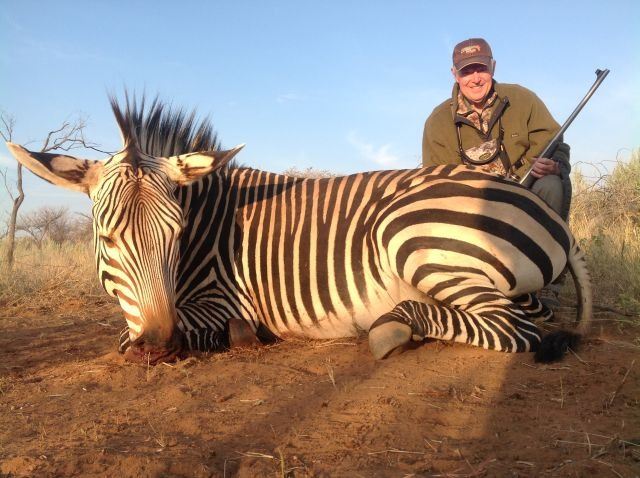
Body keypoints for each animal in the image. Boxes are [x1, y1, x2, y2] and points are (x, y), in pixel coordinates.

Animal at [7, 95, 592, 364]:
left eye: (176, 236)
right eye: (107, 239)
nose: (159, 344)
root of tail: (553, 221)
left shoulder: (218, 299)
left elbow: (140, 336)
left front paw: (238, 335)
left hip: (410, 235)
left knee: (517, 328)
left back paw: (393, 327)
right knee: (522, 312)